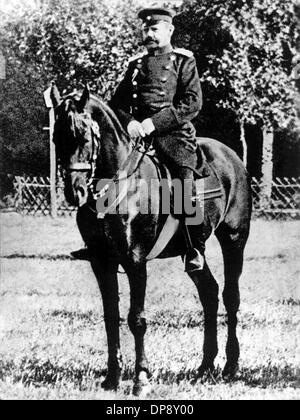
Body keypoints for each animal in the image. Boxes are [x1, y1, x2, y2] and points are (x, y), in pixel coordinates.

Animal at [50, 83, 252, 396]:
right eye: (56, 137)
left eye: (83, 136)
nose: (75, 193)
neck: (119, 184)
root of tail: (232, 157)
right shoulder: (102, 263)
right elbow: (111, 317)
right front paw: (112, 378)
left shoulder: (136, 262)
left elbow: (137, 319)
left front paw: (140, 378)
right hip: (193, 252)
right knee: (209, 293)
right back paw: (205, 366)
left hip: (234, 238)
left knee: (231, 296)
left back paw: (231, 366)